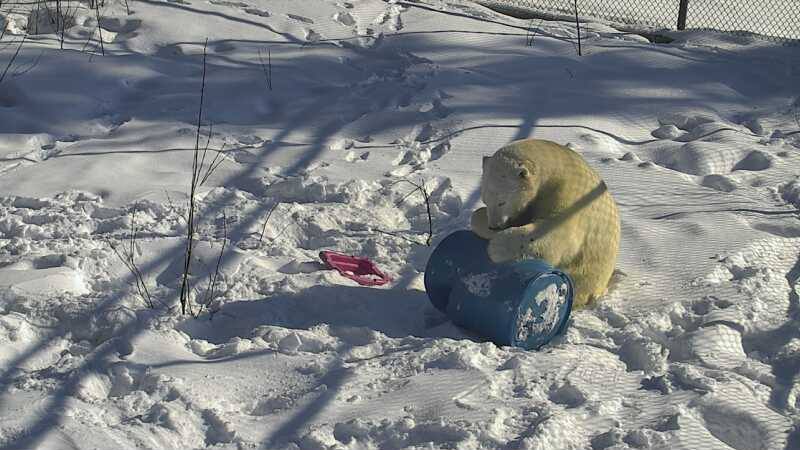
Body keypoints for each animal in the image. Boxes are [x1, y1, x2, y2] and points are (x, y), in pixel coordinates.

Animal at [472, 139, 620, 308]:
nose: (494, 226)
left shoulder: (571, 197)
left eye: (502, 202)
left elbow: (556, 235)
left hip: (585, 277)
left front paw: (497, 247)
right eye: (485, 200)